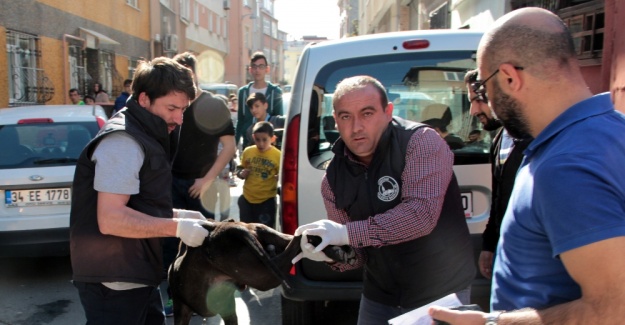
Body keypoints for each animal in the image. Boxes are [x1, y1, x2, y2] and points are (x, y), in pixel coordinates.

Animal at [166, 218, 354, 324]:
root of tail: (227, 228)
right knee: (297, 236)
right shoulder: (228, 310)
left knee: (299, 238)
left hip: (264, 276)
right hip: (268, 240)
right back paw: (335, 247)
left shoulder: (182, 309)